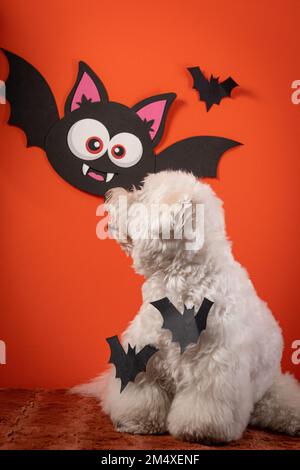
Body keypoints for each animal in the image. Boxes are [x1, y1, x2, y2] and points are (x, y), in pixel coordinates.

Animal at [75, 171, 300, 442]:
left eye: (142, 195)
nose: (110, 194)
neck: (179, 282)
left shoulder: (215, 368)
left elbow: (204, 403)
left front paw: (201, 430)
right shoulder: (144, 358)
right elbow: (141, 396)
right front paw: (137, 420)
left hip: (271, 390)